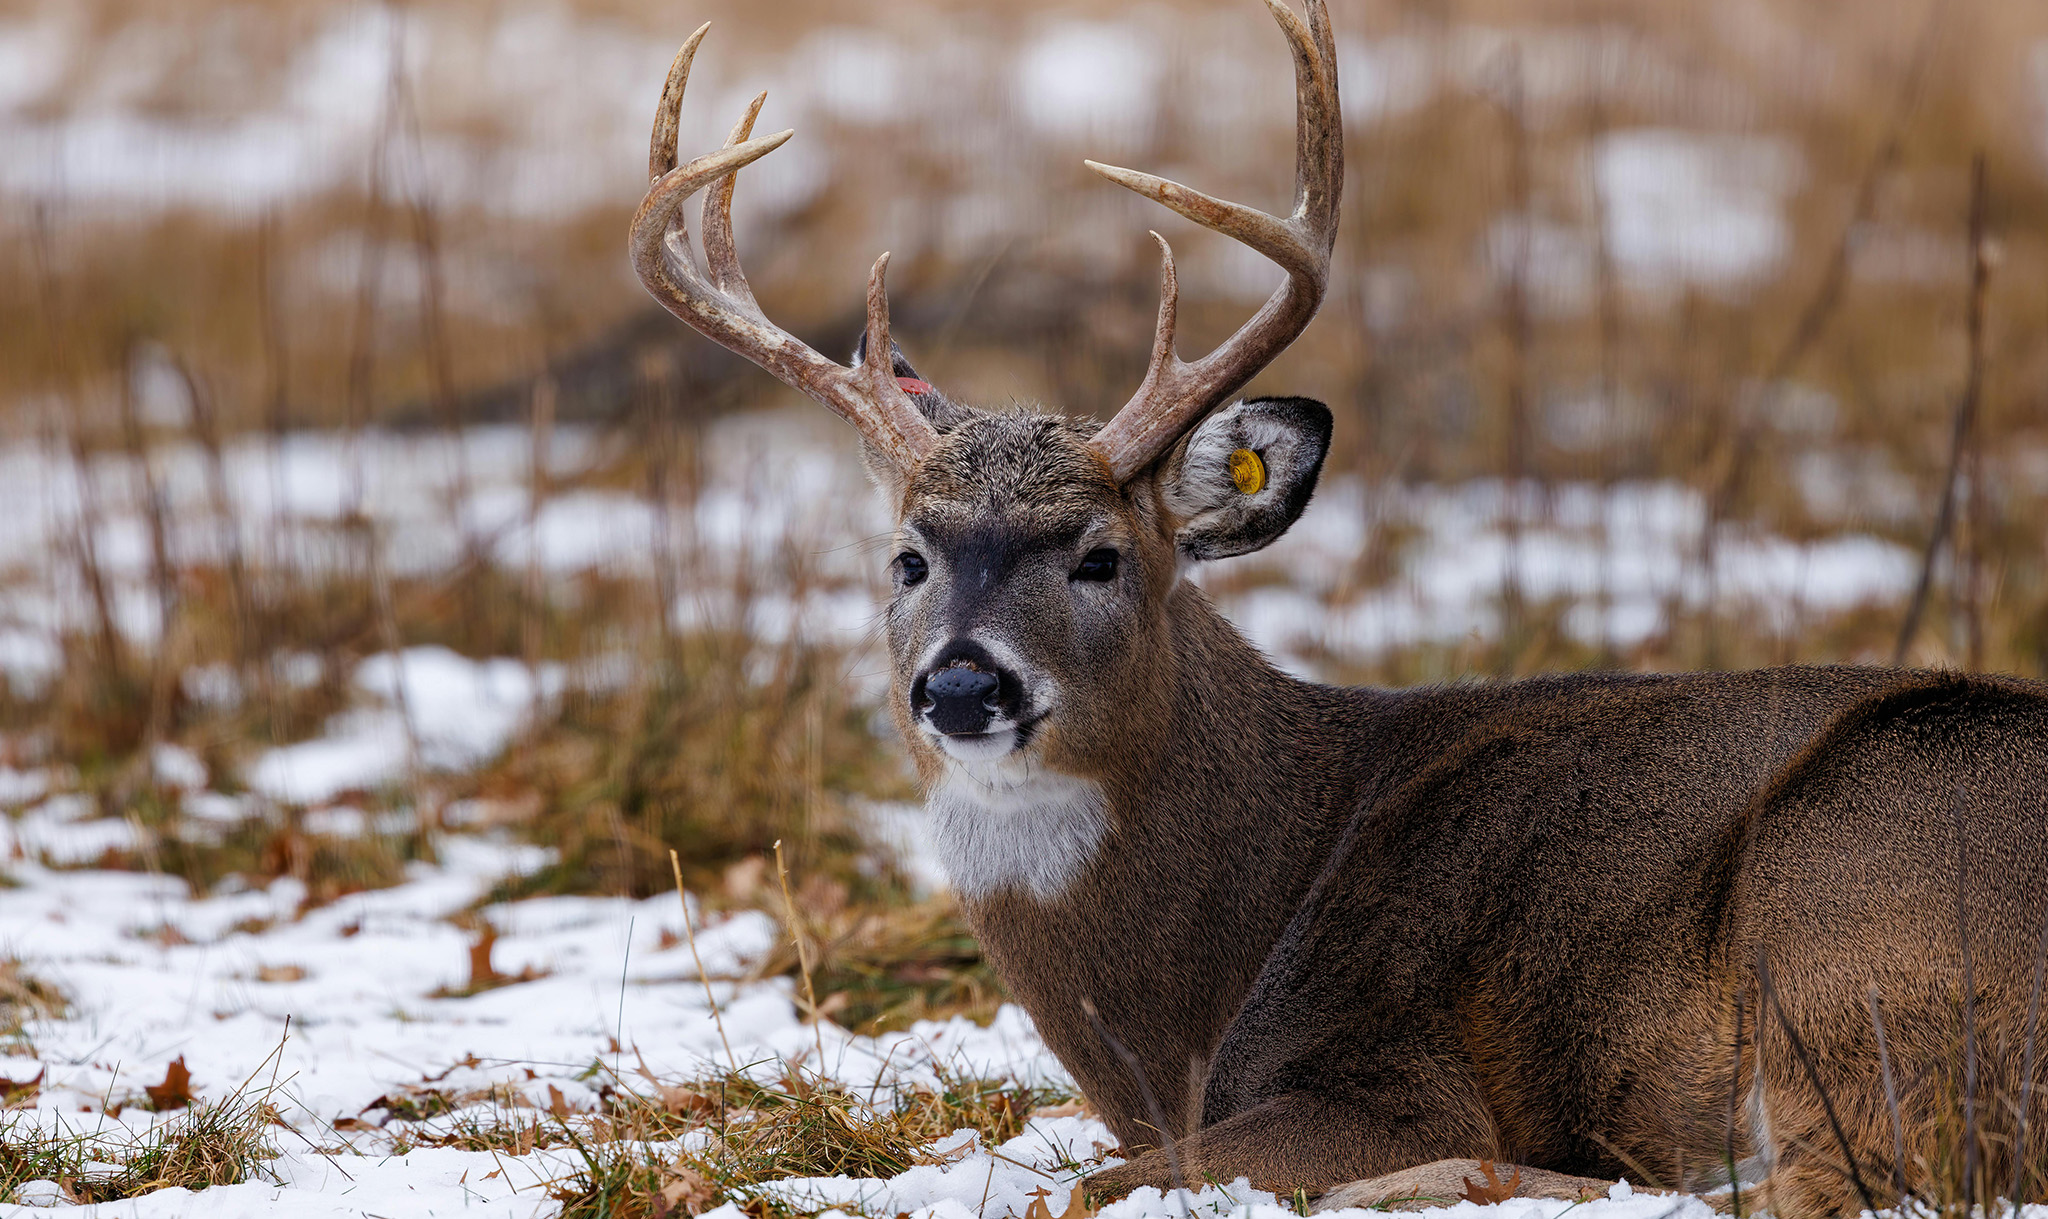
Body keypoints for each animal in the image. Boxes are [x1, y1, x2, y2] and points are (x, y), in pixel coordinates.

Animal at [629, 4, 2048, 1215]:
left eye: (1098, 557)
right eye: (907, 559)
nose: (963, 684)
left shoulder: (1389, 1073)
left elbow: (1087, 1181)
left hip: (1853, 916)